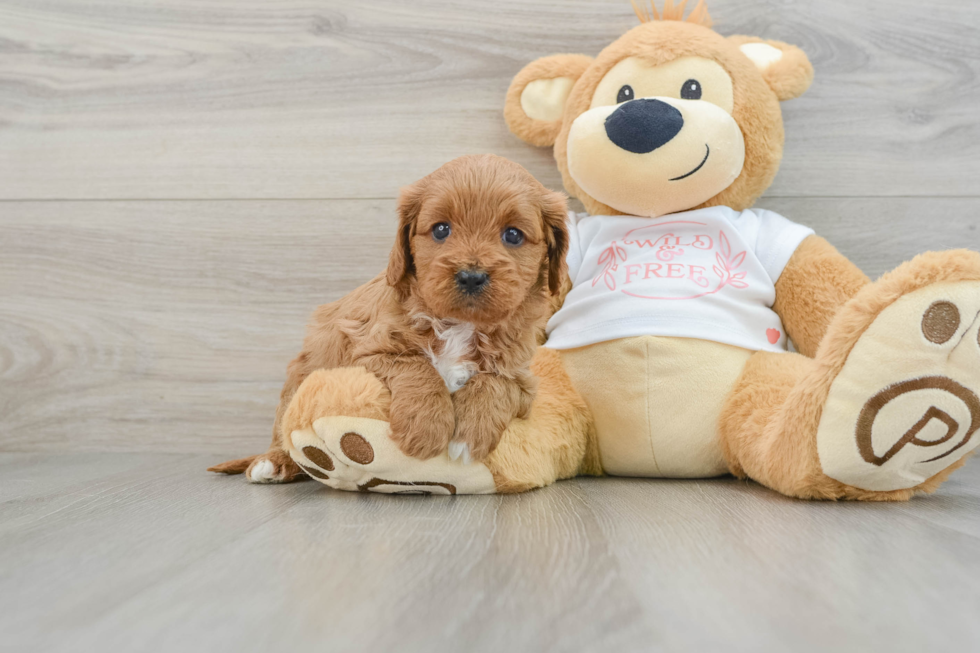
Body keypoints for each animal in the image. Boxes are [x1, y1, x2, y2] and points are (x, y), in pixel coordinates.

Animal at [211, 152, 572, 478]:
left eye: (513, 235)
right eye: (441, 230)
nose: (471, 276)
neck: (461, 325)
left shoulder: (522, 377)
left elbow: (496, 382)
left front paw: (470, 435)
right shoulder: (363, 349)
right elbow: (417, 366)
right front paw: (426, 428)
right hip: (299, 382)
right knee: (284, 434)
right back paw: (275, 463)